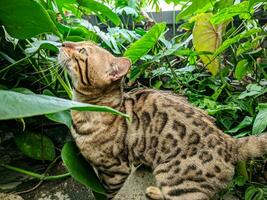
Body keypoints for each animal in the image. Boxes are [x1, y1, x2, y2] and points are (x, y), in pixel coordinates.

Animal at [58, 41, 267, 199]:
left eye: (82, 51)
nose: (62, 42)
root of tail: (229, 142)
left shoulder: (115, 170)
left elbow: (109, 194)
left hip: (173, 178)